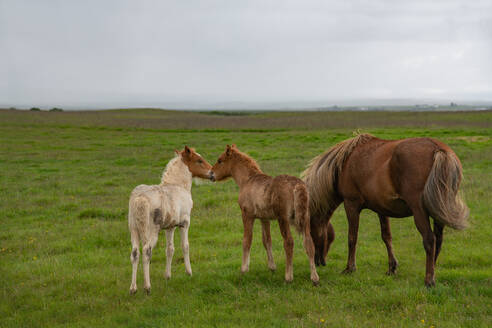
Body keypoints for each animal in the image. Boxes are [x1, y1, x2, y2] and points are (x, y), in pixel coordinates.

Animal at [128, 146, 210, 294]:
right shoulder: (185, 222)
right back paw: (147, 287)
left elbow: (170, 249)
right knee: (146, 251)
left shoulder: (170, 227)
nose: (212, 173)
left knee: (135, 253)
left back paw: (133, 288)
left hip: (134, 229)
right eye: (199, 160)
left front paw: (167, 276)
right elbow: (185, 246)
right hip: (152, 230)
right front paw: (189, 272)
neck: (178, 185)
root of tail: (140, 198)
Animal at [208, 145, 320, 286]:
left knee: (289, 242)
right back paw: (314, 277)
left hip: (283, 219)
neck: (247, 180)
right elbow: (267, 241)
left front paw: (244, 269)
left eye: (220, 160)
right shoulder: (264, 218)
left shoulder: (247, 215)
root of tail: (297, 185)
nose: (210, 174)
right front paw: (272, 267)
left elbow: (247, 240)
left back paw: (288, 277)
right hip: (305, 217)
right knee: (309, 242)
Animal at [300, 133, 468, 288]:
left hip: (419, 211)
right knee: (438, 241)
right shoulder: (382, 210)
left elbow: (352, 238)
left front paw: (350, 268)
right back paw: (432, 271)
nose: (319, 261)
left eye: (312, 233)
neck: (344, 163)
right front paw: (392, 268)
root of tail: (438, 149)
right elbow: (386, 237)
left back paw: (429, 279)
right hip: (437, 213)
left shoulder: (351, 205)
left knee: (429, 240)